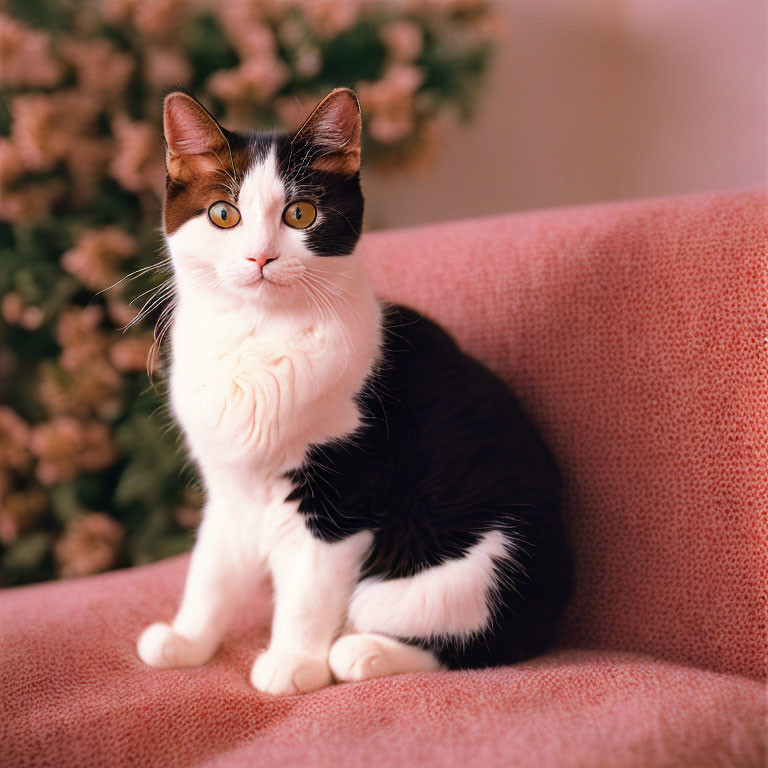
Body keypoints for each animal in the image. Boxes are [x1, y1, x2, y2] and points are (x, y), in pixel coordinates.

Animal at [136, 87, 568, 692]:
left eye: (300, 213)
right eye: (224, 214)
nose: (260, 257)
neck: (257, 338)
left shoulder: (343, 497)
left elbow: (309, 591)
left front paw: (293, 664)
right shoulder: (230, 490)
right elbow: (211, 572)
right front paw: (187, 641)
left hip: (473, 565)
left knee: (479, 640)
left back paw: (360, 653)